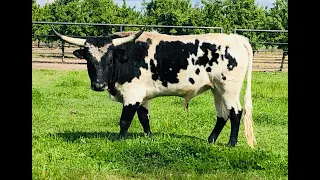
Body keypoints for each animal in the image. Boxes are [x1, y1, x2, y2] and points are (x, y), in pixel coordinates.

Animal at [52, 26, 258, 148]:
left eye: (110, 59)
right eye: (89, 60)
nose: (98, 85)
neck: (126, 57)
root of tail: (235, 38)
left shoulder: (132, 95)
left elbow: (125, 120)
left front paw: (120, 140)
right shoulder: (142, 96)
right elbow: (144, 117)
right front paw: (149, 137)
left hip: (229, 89)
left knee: (235, 113)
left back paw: (231, 143)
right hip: (217, 89)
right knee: (222, 115)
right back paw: (211, 140)